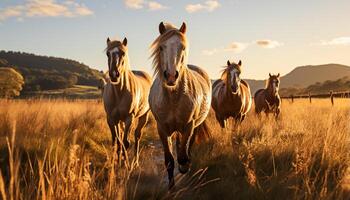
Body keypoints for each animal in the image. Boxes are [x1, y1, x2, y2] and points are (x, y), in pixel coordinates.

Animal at [148, 22, 211, 189]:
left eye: (182, 47)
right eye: (161, 47)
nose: (171, 76)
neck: (173, 99)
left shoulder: (189, 125)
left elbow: (183, 153)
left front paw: (184, 166)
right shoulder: (162, 129)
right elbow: (169, 161)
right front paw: (171, 187)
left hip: (195, 125)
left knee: (188, 145)